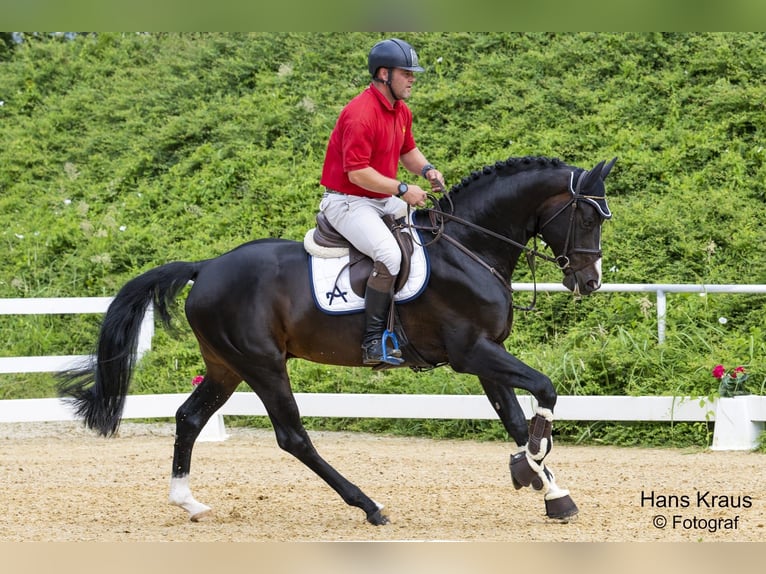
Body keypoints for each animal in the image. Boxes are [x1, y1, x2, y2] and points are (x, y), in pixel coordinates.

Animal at [57, 155, 616, 528]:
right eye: (588, 217)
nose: (589, 282)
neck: (469, 246)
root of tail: (207, 266)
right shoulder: (472, 353)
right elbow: (544, 392)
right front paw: (531, 467)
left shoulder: (485, 355)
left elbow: (516, 419)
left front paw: (551, 490)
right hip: (263, 365)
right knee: (293, 437)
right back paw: (369, 505)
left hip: (226, 366)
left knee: (190, 418)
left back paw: (187, 501)